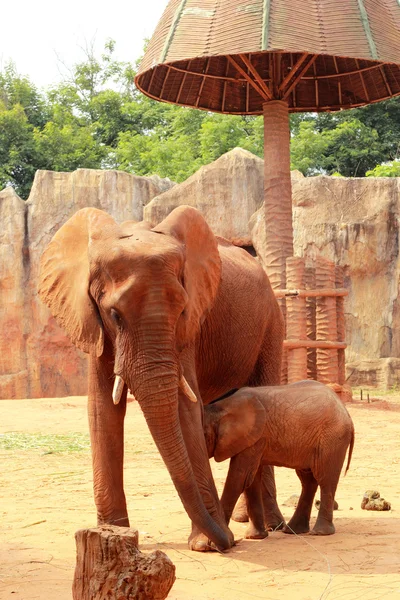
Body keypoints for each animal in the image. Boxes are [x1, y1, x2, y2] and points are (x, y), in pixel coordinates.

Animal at [38, 205, 284, 552]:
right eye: (114, 315)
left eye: (181, 311)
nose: (229, 542)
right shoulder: (92, 323)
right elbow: (102, 410)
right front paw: (114, 534)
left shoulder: (190, 327)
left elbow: (184, 408)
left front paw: (204, 544)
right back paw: (242, 520)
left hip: (272, 323)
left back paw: (272, 526)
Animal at [205, 382, 354, 540]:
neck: (220, 407)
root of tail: (346, 412)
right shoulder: (255, 439)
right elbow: (251, 479)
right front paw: (255, 537)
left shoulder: (255, 437)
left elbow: (239, 478)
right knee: (308, 480)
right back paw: (293, 530)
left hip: (332, 438)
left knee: (326, 479)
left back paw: (319, 532)